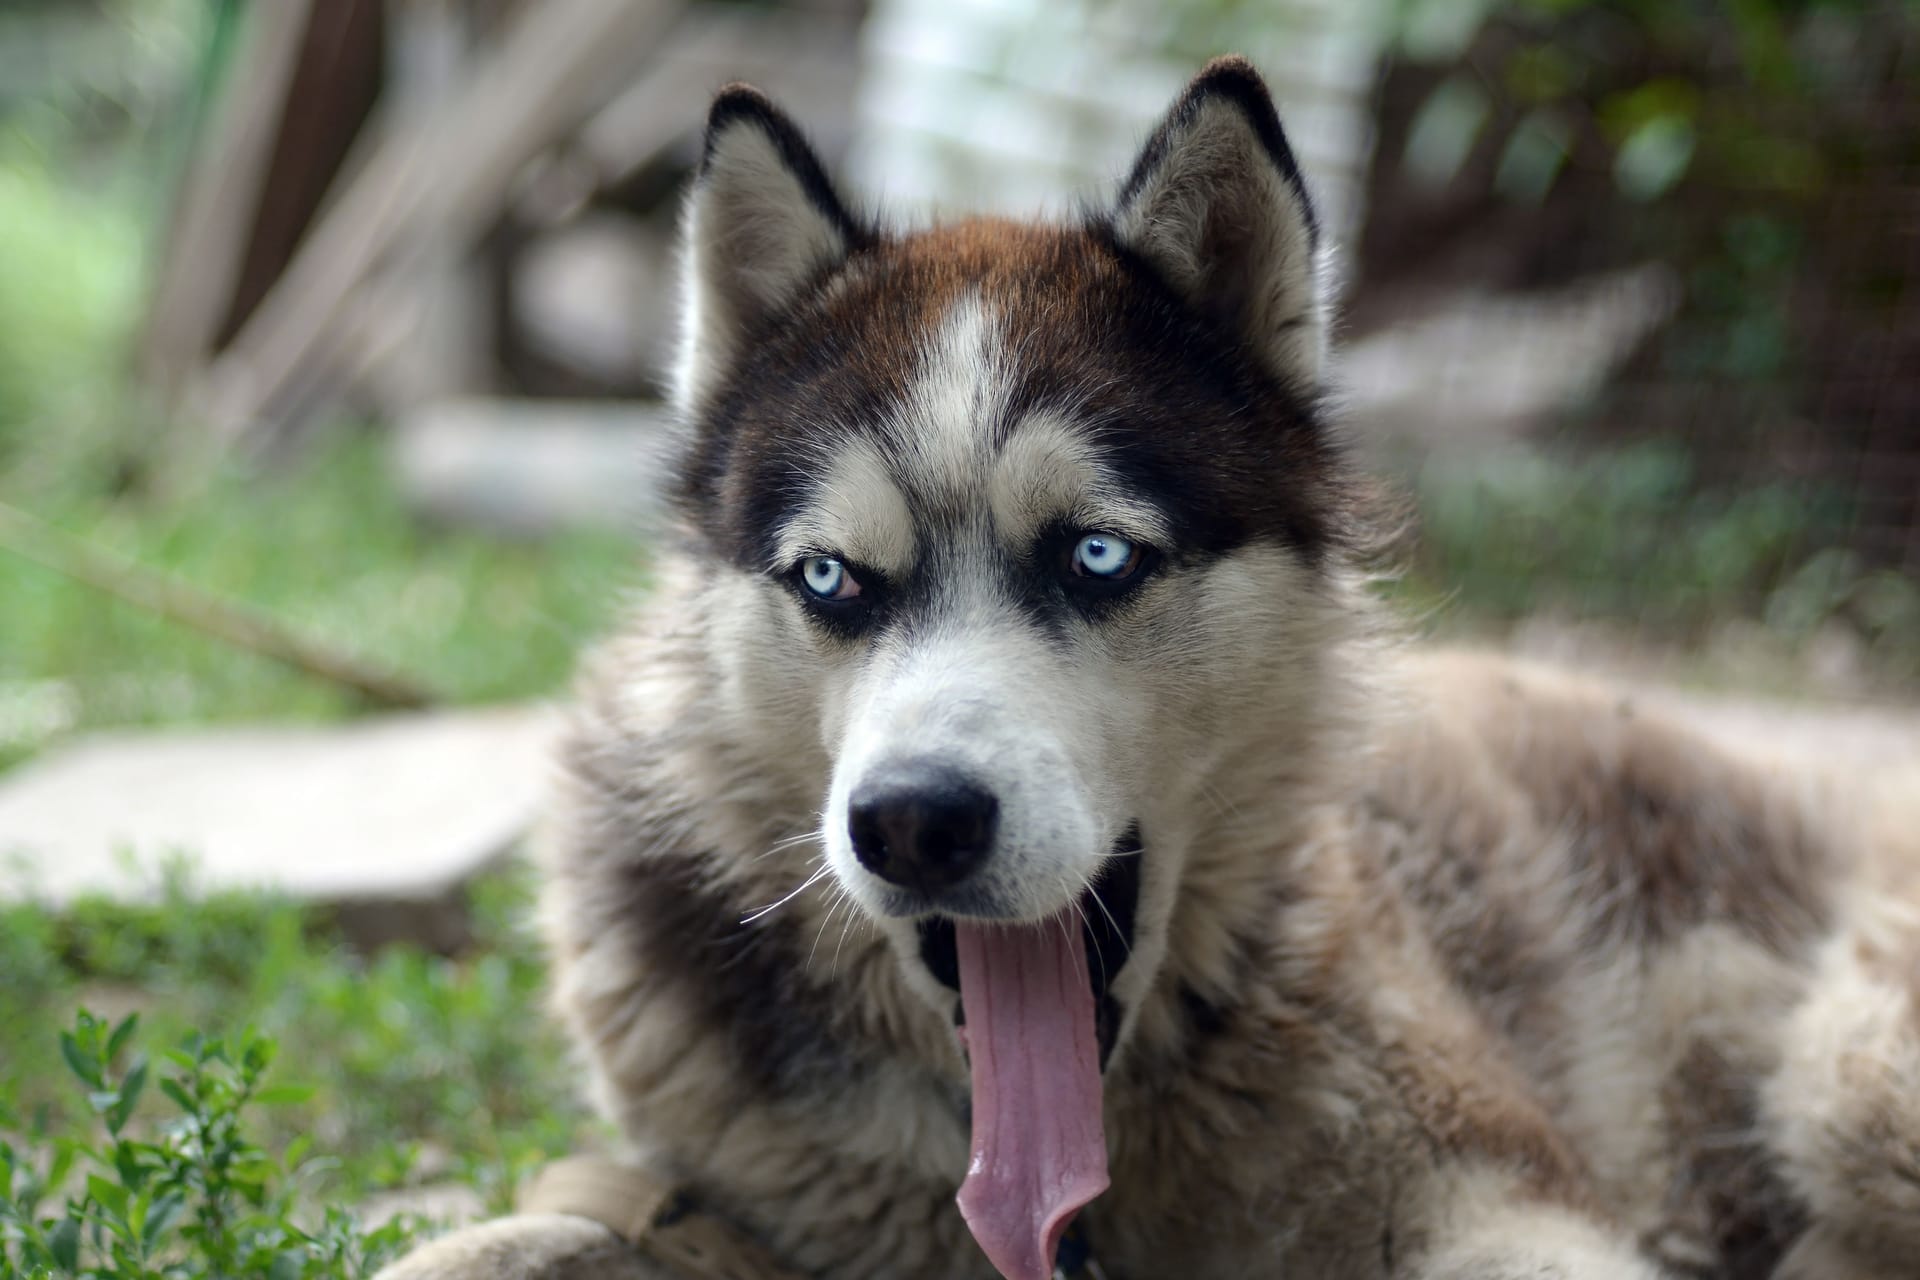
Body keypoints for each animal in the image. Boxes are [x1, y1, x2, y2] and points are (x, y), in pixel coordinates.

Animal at [382, 59, 1920, 1280]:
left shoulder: (1502, 1207)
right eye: (830, 580)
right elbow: (511, 1236)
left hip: (1853, 1073)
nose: (913, 821)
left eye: (1098, 557)